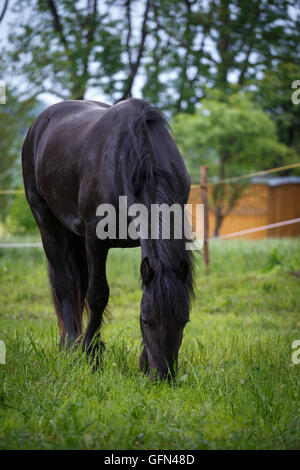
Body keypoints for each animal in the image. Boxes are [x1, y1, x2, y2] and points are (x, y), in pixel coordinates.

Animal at [21, 97, 195, 380]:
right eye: (147, 321)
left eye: (184, 320)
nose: (163, 377)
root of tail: (40, 123)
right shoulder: (95, 239)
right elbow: (97, 295)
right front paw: (92, 357)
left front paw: (142, 363)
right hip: (47, 221)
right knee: (65, 284)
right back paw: (71, 347)